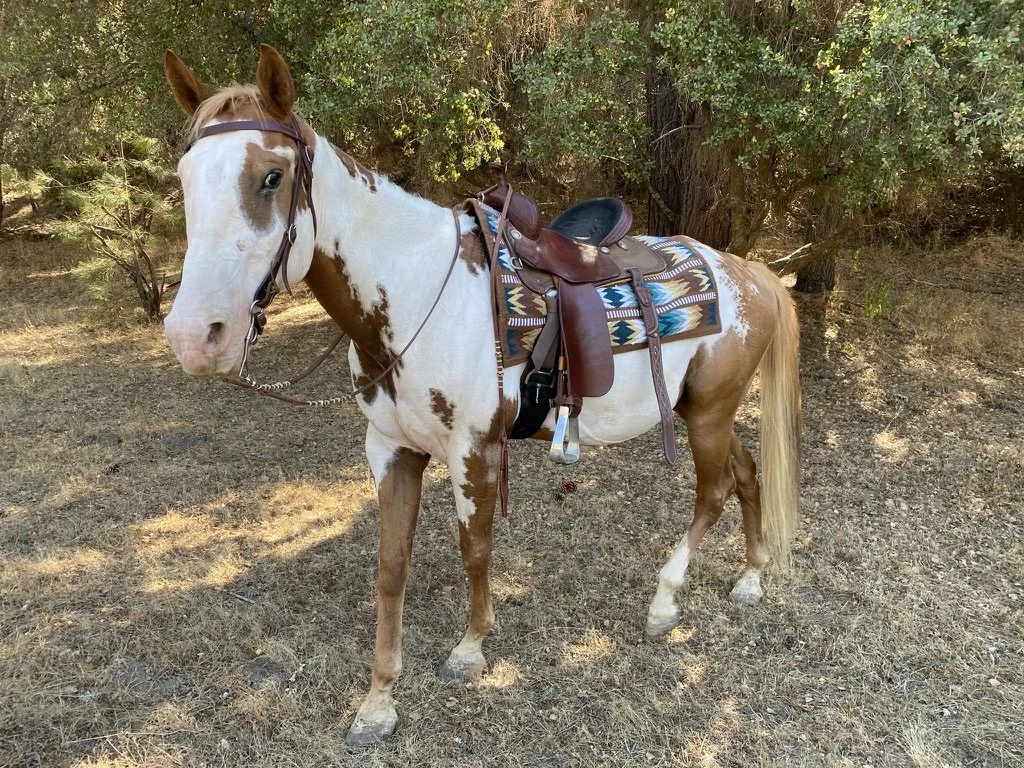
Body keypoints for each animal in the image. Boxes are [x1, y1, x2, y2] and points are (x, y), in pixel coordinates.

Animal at [162, 44, 801, 745]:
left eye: (271, 178)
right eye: (184, 178)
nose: (195, 337)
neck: (414, 291)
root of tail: (750, 273)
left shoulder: (473, 448)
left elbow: (474, 549)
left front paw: (470, 649)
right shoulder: (391, 450)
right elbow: (391, 566)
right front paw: (378, 701)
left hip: (708, 415)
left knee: (713, 491)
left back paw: (664, 602)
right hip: (702, 411)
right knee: (747, 474)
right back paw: (750, 579)